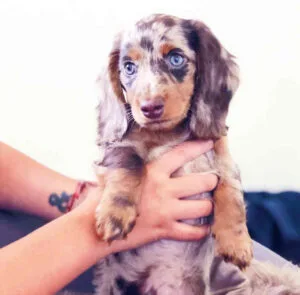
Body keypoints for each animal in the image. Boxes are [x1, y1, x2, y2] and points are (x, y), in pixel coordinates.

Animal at [94, 13, 253, 295]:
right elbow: (129, 164)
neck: (168, 135)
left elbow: (231, 189)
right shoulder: (117, 148)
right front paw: (115, 213)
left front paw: (236, 242)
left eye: (176, 58)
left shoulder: (223, 156)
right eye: (129, 67)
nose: (150, 108)